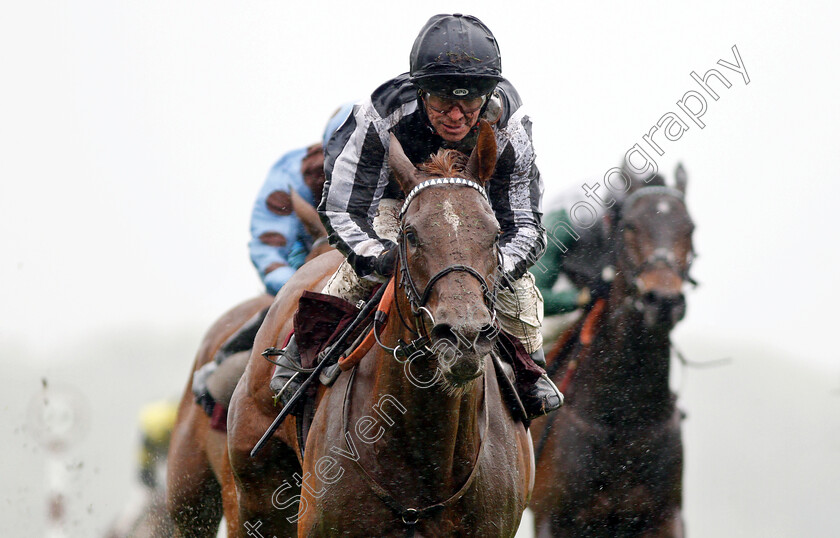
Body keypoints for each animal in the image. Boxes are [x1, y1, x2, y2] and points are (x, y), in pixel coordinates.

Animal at [532, 165, 696, 532]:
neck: (623, 419)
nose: (663, 301)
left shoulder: (664, 516)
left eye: (690, 228)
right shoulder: (551, 517)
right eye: (631, 226)